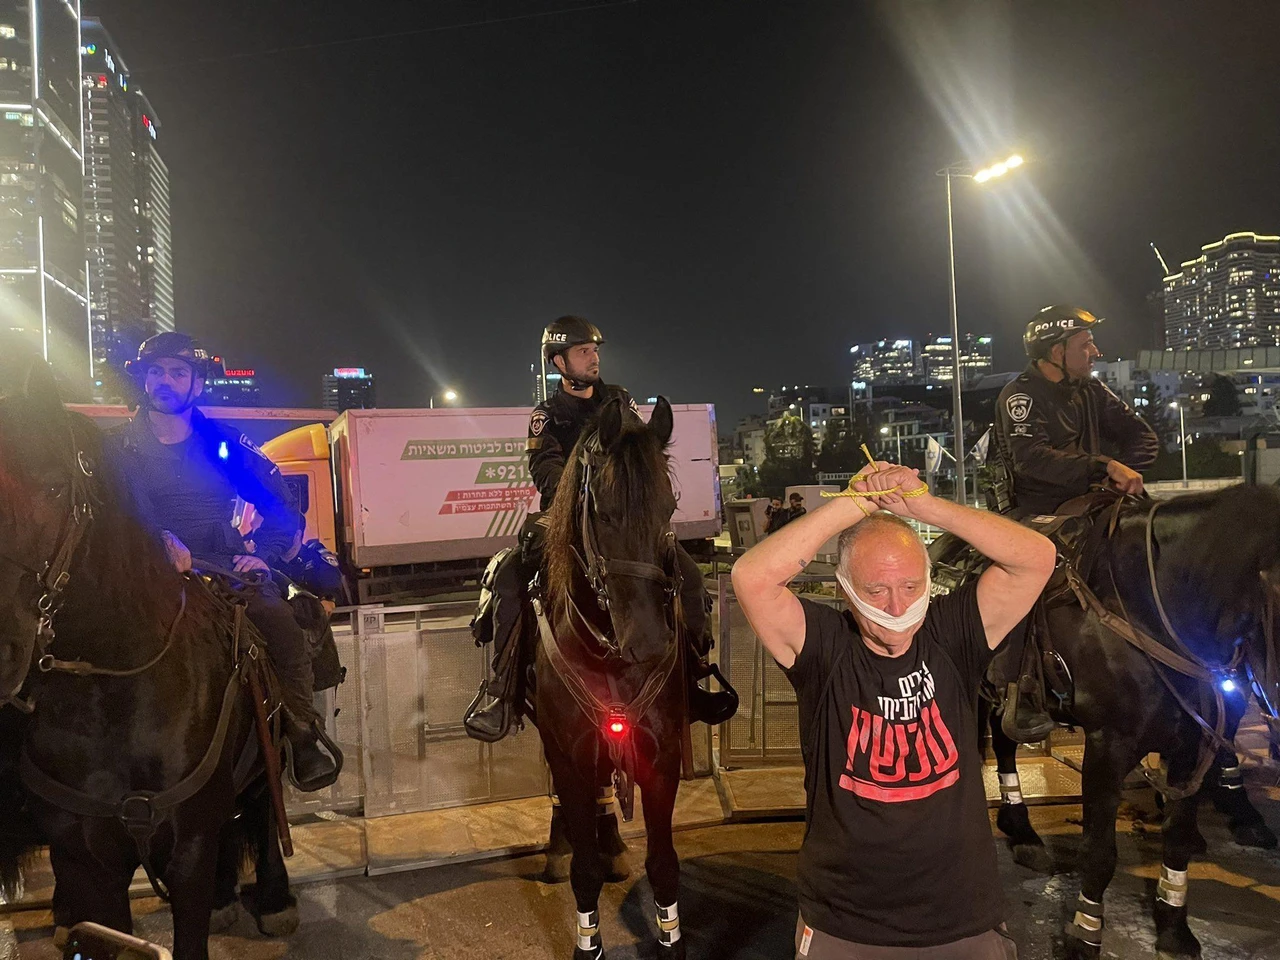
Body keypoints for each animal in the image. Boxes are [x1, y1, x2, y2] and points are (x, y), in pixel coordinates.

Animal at [1, 348, 294, 960]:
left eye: (56, 489)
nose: (2, 649)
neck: (116, 692)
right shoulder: (85, 858)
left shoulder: (188, 847)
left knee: (262, 807)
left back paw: (275, 900)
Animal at [529, 399, 691, 960]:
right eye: (602, 511)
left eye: (670, 506)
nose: (650, 642)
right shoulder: (570, 755)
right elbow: (584, 871)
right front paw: (588, 942)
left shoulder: (662, 755)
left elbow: (663, 863)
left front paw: (669, 939)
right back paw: (560, 848)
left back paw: (614, 846)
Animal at [936, 488, 1280, 960]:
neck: (1148, 608)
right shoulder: (1108, 745)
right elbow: (1099, 851)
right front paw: (1085, 934)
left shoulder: (1189, 743)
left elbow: (1177, 835)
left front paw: (1174, 927)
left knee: (1005, 740)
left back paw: (1022, 831)